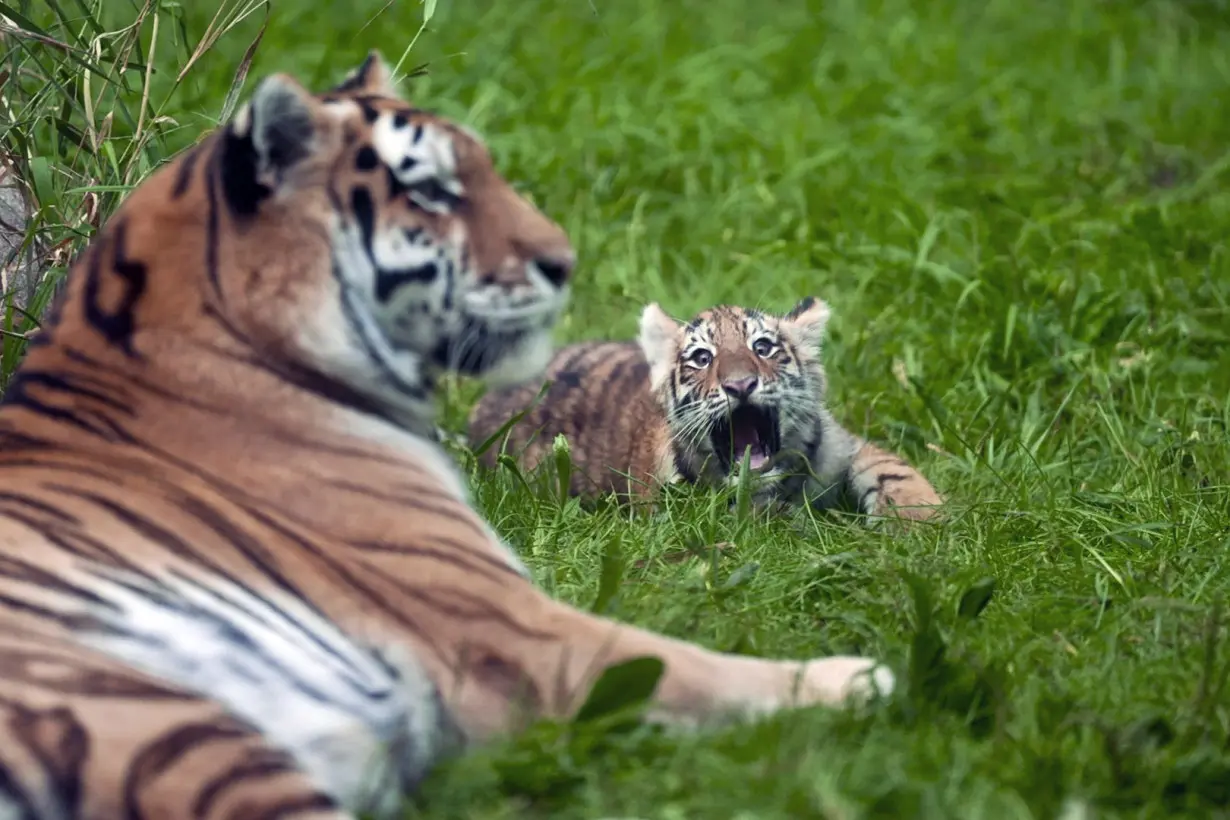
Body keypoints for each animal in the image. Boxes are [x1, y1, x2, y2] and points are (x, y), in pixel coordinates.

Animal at [0, 56, 890, 820]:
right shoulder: (505, 621)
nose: (565, 262)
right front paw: (858, 679)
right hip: (179, 741)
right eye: (430, 189)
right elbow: (690, 662)